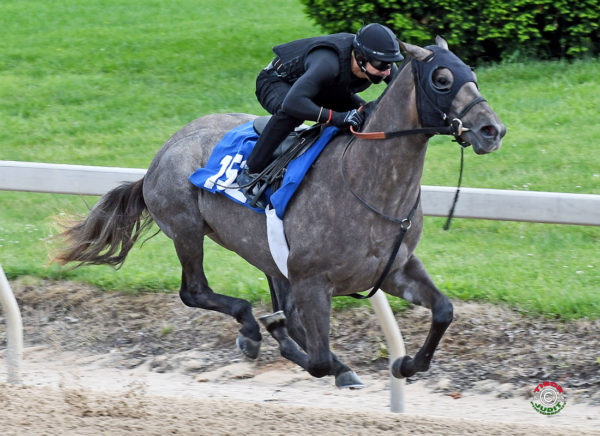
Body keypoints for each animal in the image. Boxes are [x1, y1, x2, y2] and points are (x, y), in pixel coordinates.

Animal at [55, 38, 506, 388]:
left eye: (472, 75)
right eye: (441, 80)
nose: (492, 130)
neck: (366, 184)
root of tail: (161, 152)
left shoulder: (394, 269)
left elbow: (444, 310)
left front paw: (408, 363)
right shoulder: (312, 280)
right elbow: (319, 359)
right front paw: (335, 364)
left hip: (265, 253)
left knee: (277, 310)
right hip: (186, 229)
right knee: (195, 292)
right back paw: (252, 330)